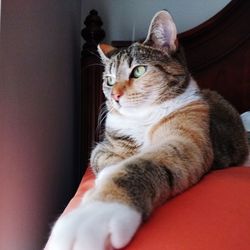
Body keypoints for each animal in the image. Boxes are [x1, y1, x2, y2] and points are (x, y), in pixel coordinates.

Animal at [45, 10, 248, 250]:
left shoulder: (188, 137)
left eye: (139, 70)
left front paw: (98, 212)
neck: (144, 117)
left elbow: (143, 164)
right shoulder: (103, 146)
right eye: (109, 80)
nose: (115, 96)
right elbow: (104, 159)